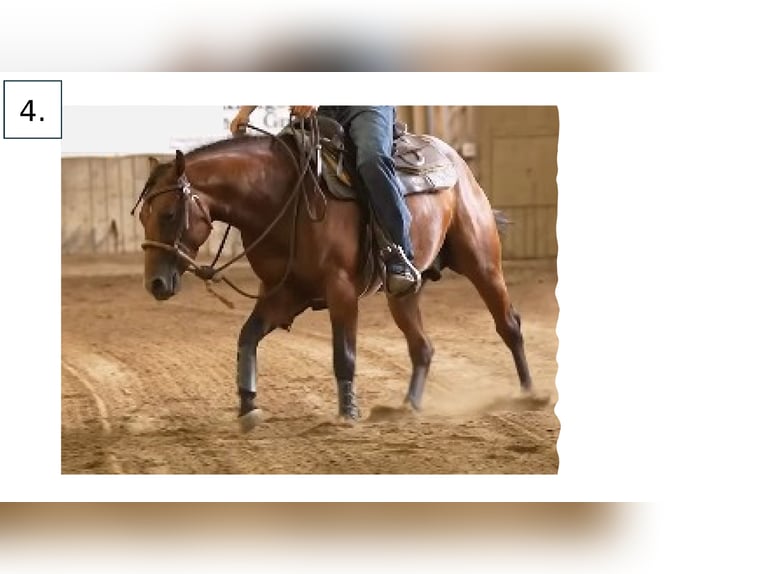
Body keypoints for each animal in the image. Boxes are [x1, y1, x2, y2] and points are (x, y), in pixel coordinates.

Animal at [134, 121, 533, 431]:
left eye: (169, 214)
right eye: (142, 216)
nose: (155, 284)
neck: (281, 198)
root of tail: (456, 161)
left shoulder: (340, 289)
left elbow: (344, 353)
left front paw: (348, 413)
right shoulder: (282, 293)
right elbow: (246, 338)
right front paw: (248, 405)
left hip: (482, 263)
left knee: (509, 324)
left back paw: (530, 394)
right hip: (403, 291)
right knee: (422, 347)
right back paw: (406, 407)